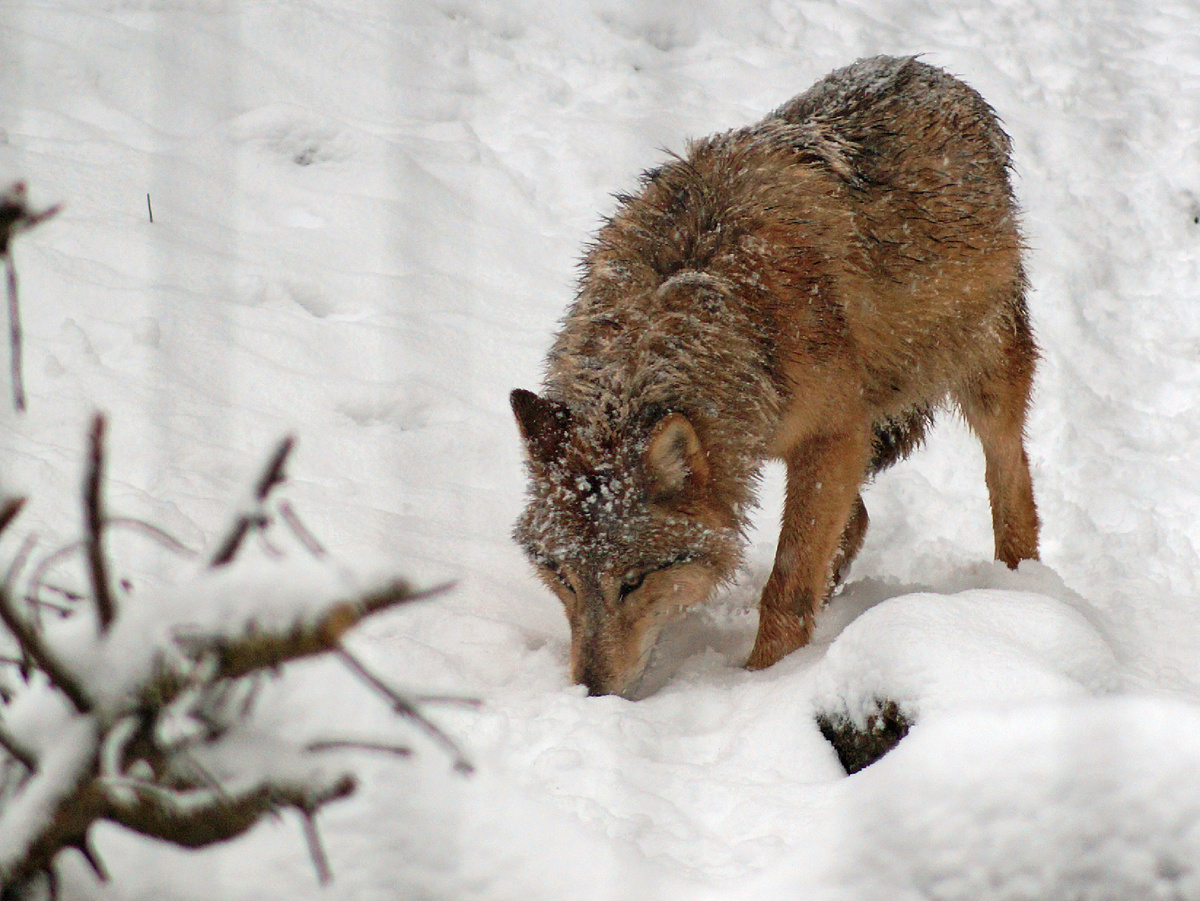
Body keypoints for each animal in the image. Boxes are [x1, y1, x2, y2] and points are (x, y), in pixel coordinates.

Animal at [511, 56, 1040, 697]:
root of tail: (935, 73)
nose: (589, 691)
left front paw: (763, 681)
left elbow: (785, 587)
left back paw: (1016, 593)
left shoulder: (833, 436)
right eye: (562, 576)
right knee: (858, 521)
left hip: (984, 373)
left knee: (1010, 480)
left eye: (634, 580)